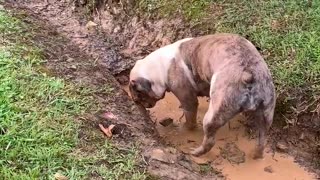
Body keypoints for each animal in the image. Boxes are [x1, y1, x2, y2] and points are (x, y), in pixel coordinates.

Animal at [129, 33, 276, 158]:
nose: (142, 105)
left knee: (209, 140)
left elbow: (190, 120)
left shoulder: (188, 100)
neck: (157, 69)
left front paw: (184, 129)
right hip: (266, 113)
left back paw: (196, 152)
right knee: (262, 138)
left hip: (214, 115)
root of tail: (248, 73)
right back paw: (256, 155)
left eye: (139, 97)